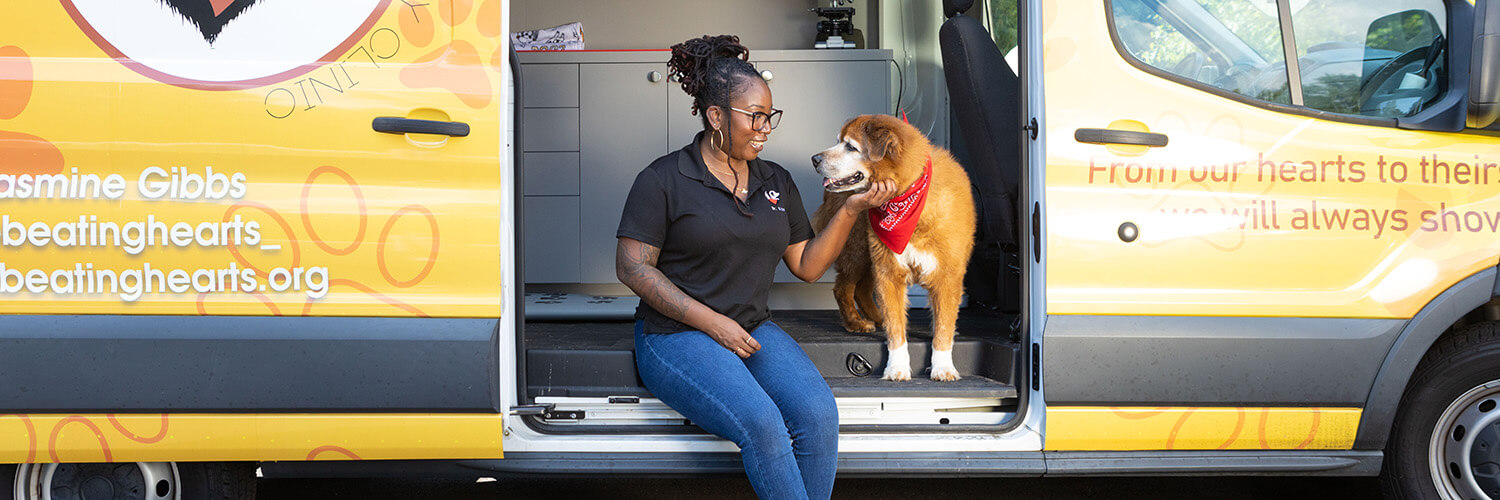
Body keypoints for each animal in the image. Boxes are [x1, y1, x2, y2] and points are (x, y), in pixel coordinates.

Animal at [816, 112, 978, 379]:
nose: (815, 159)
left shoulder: (947, 276)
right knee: (844, 288)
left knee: (860, 290)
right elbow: (895, 329)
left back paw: (874, 318)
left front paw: (943, 366)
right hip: (858, 250)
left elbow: (943, 326)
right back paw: (856, 322)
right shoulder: (889, 272)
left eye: (850, 146)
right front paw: (897, 367)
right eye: (838, 142)